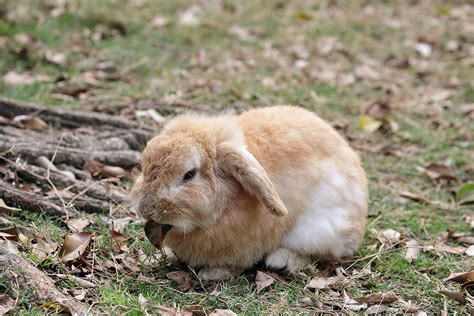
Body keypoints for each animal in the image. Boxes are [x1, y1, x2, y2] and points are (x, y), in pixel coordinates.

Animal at [131, 105, 368, 278]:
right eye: (144, 165)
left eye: (189, 174)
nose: (145, 209)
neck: (225, 205)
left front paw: (213, 273)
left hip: (319, 228)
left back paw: (281, 261)